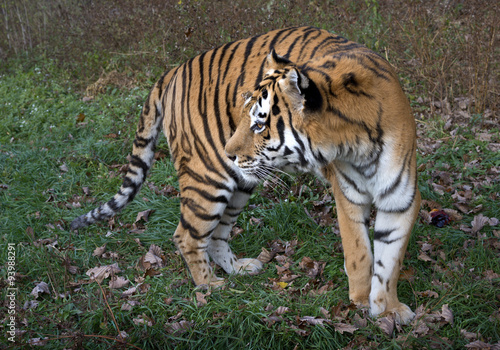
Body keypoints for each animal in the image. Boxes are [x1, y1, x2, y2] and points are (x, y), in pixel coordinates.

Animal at [70, 26, 420, 324]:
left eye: (259, 125)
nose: (228, 152)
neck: (357, 143)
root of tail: (174, 70)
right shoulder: (348, 198)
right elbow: (360, 253)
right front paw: (361, 301)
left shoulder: (400, 200)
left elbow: (389, 262)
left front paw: (388, 309)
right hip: (208, 180)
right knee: (187, 235)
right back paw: (210, 287)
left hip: (240, 184)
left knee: (217, 235)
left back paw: (238, 269)